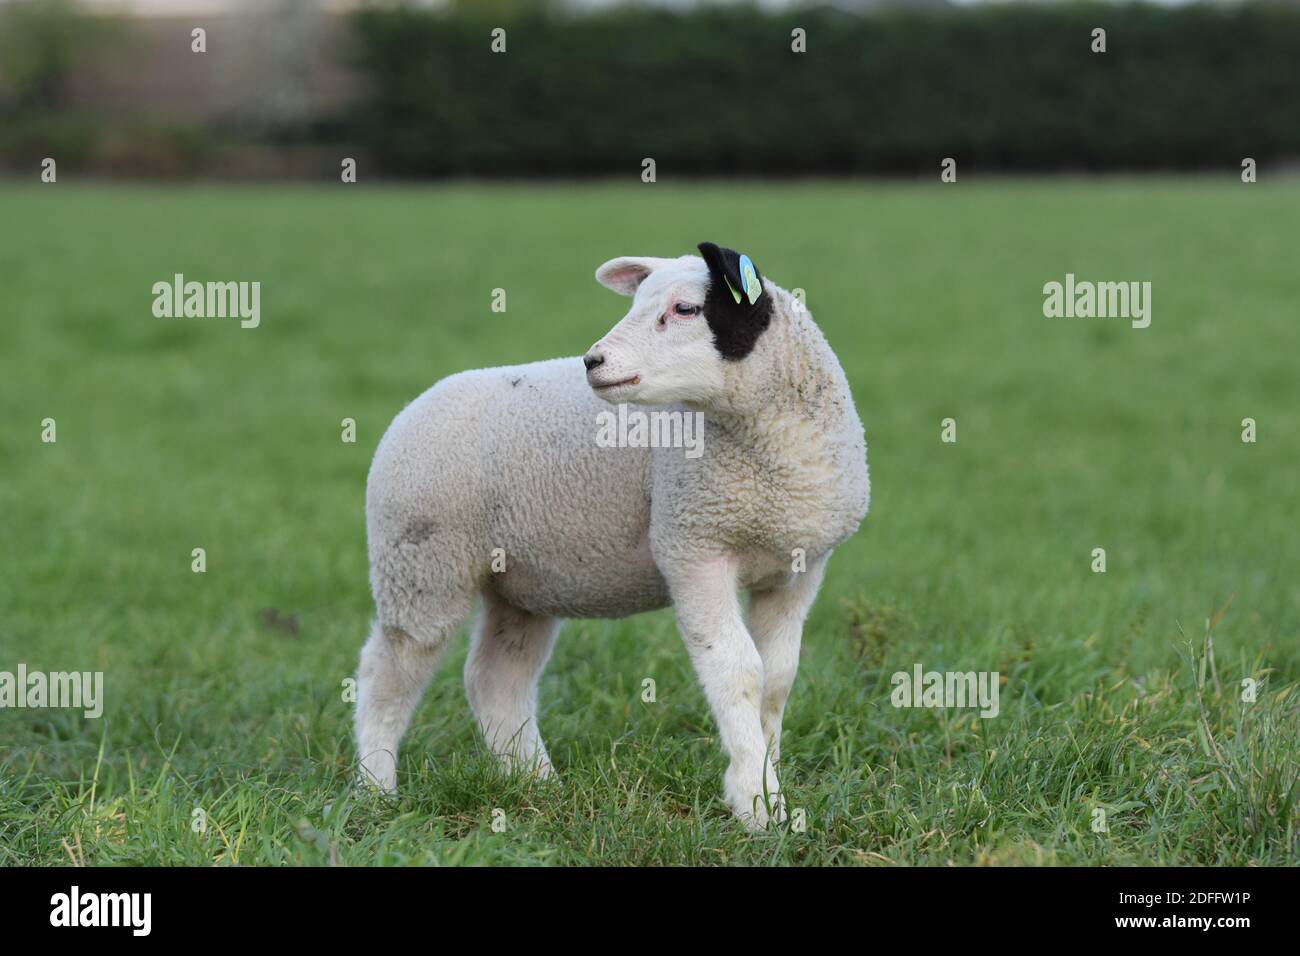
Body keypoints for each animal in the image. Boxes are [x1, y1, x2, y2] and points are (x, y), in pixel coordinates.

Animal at [355, 242, 870, 827]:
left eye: (686, 309)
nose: (592, 362)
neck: (767, 452)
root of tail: (410, 409)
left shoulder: (798, 567)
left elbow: (778, 680)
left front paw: (769, 786)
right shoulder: (693, 547)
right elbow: (738, 672)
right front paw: (756, 803)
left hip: (519, 583)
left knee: (495, 678)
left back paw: (535, 782)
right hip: (420, 562)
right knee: (386, 673)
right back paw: (377, 789)